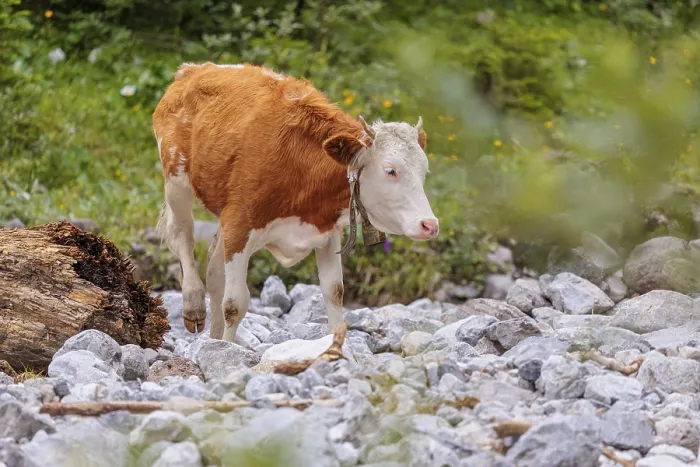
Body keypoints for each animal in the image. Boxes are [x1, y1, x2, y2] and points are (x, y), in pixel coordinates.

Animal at [153, 61, 439, 343]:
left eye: (425, 171)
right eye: (390, 170)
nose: (430, 225)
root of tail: (194, 69)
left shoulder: (326, 231)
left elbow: (334, 292)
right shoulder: (240, 223)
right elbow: (235, 303)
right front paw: (226, 349)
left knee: (213, 269)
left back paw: (213, 336)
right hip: (177, 181)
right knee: (182, 235)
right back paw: (194, 306)